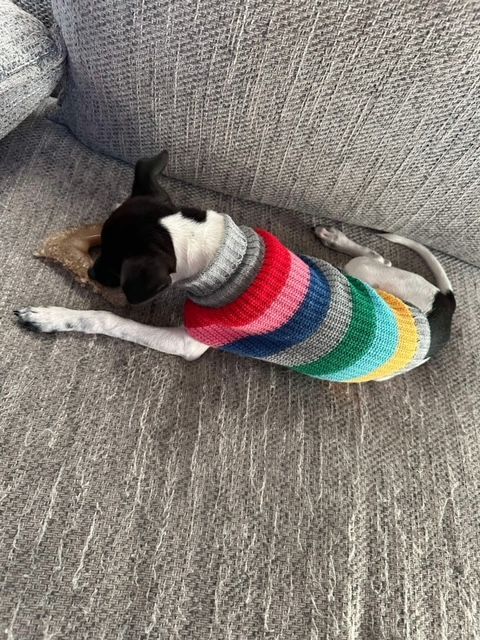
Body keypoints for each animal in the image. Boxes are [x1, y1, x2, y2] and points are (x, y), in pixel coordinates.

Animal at [15, 151, 456, 380]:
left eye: (110, 261)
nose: (90, 273)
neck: (216, 251)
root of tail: (444, 311)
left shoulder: (189, 342)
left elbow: (110, 320)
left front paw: (50, 317)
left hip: (371, 275)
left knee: (379, 256)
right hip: (368, 275)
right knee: (378, 255)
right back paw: (332, 236)